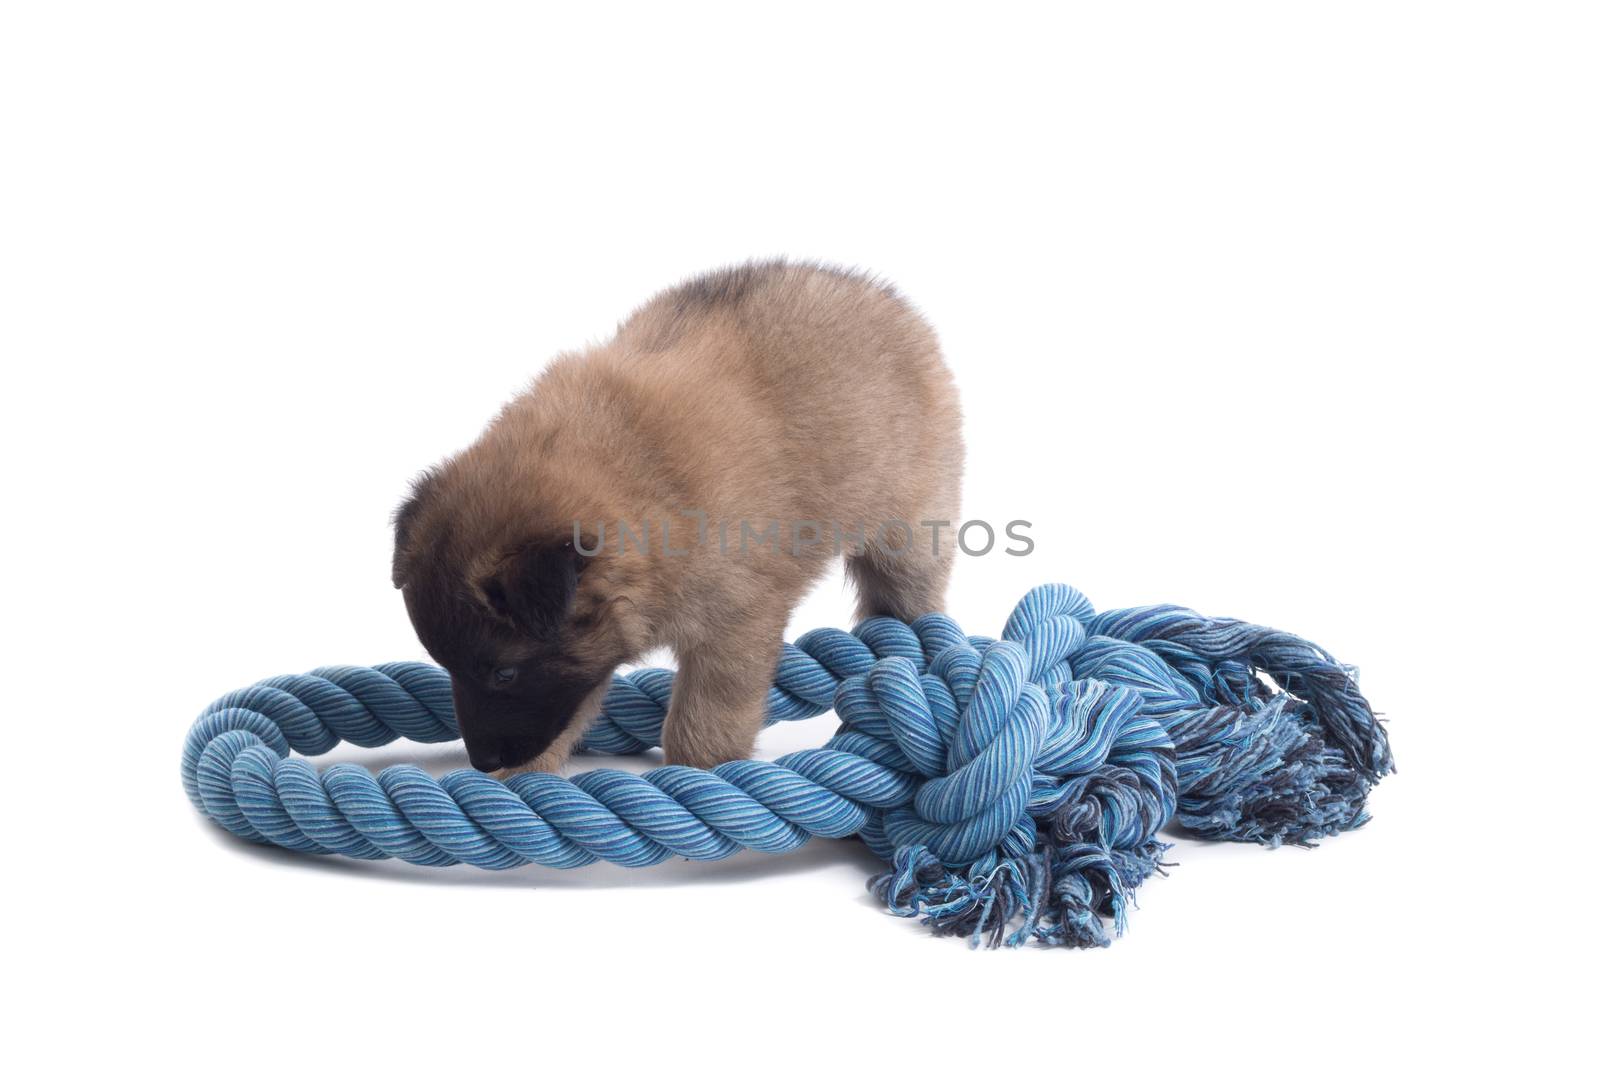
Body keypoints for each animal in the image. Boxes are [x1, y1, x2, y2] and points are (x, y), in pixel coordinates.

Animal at [390, 259, 960, 777]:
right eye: (449, 666)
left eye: (504, 674)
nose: (482, 762)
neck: (636, 477)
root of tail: (887, 301)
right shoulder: (589, 654)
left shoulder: (734, 627)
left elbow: (705, 722)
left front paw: (704, 776)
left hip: (911, 528)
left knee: (909, 586)